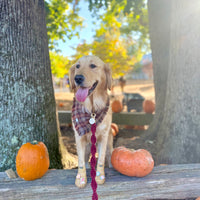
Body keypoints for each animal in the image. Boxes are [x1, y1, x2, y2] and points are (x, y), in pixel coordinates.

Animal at [69, 55, 112, 188]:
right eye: (77, 66)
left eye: (93, 66)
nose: (77, 78)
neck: (92, 108)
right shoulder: (79, 137)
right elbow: (81, 160)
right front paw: (81, 178)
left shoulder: (103, 137)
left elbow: (101, 159)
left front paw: (100, 177)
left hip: (110, 143)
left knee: (109, 155)